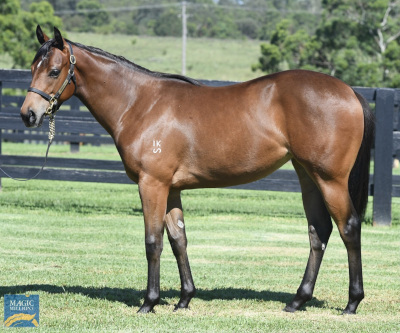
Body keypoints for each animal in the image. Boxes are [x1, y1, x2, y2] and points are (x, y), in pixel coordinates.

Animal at [19, 26, 376, 314]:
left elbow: (153, 241)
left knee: (348, 228)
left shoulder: (152, 184)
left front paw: (149, 302)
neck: (140, 103)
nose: (28, 114)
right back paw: (297, 300)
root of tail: (349, 91)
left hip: (330, 180)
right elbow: (179, 239)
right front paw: (184, 299)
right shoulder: (171, 188)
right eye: (32, 68)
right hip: (308, 176)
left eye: (54, 70)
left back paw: (352, 302)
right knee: (319, 232)